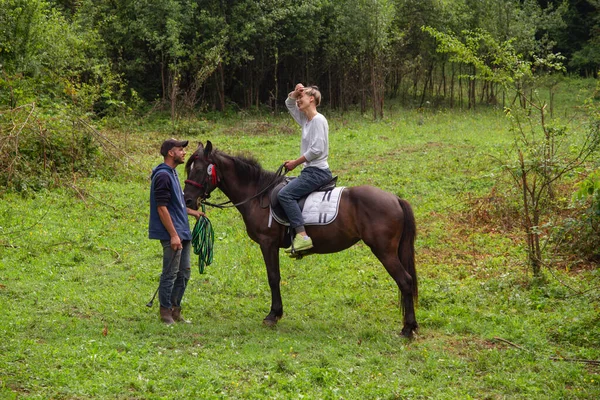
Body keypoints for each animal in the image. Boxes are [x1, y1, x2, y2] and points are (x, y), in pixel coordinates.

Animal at [183, 141, 418, 338]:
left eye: (199, 169)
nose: (188, 201)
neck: (258, 195)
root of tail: (395, 199)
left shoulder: (268, 244)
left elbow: (273, 277)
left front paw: (273, 315)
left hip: (384, 251)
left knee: (405, 281)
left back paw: (408, 328)